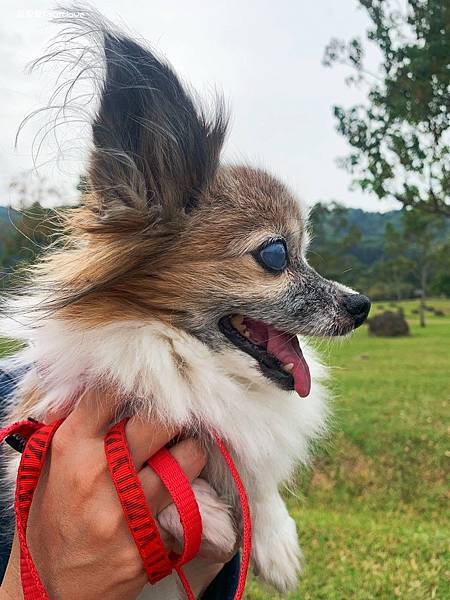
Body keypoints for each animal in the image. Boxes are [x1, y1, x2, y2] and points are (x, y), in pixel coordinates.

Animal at [0, 7, 370, 596]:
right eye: (275, 253)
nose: (362, 306)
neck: (184, 360)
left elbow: (256, 481)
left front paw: (275, 541)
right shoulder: (32, 450)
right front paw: (207, 515)